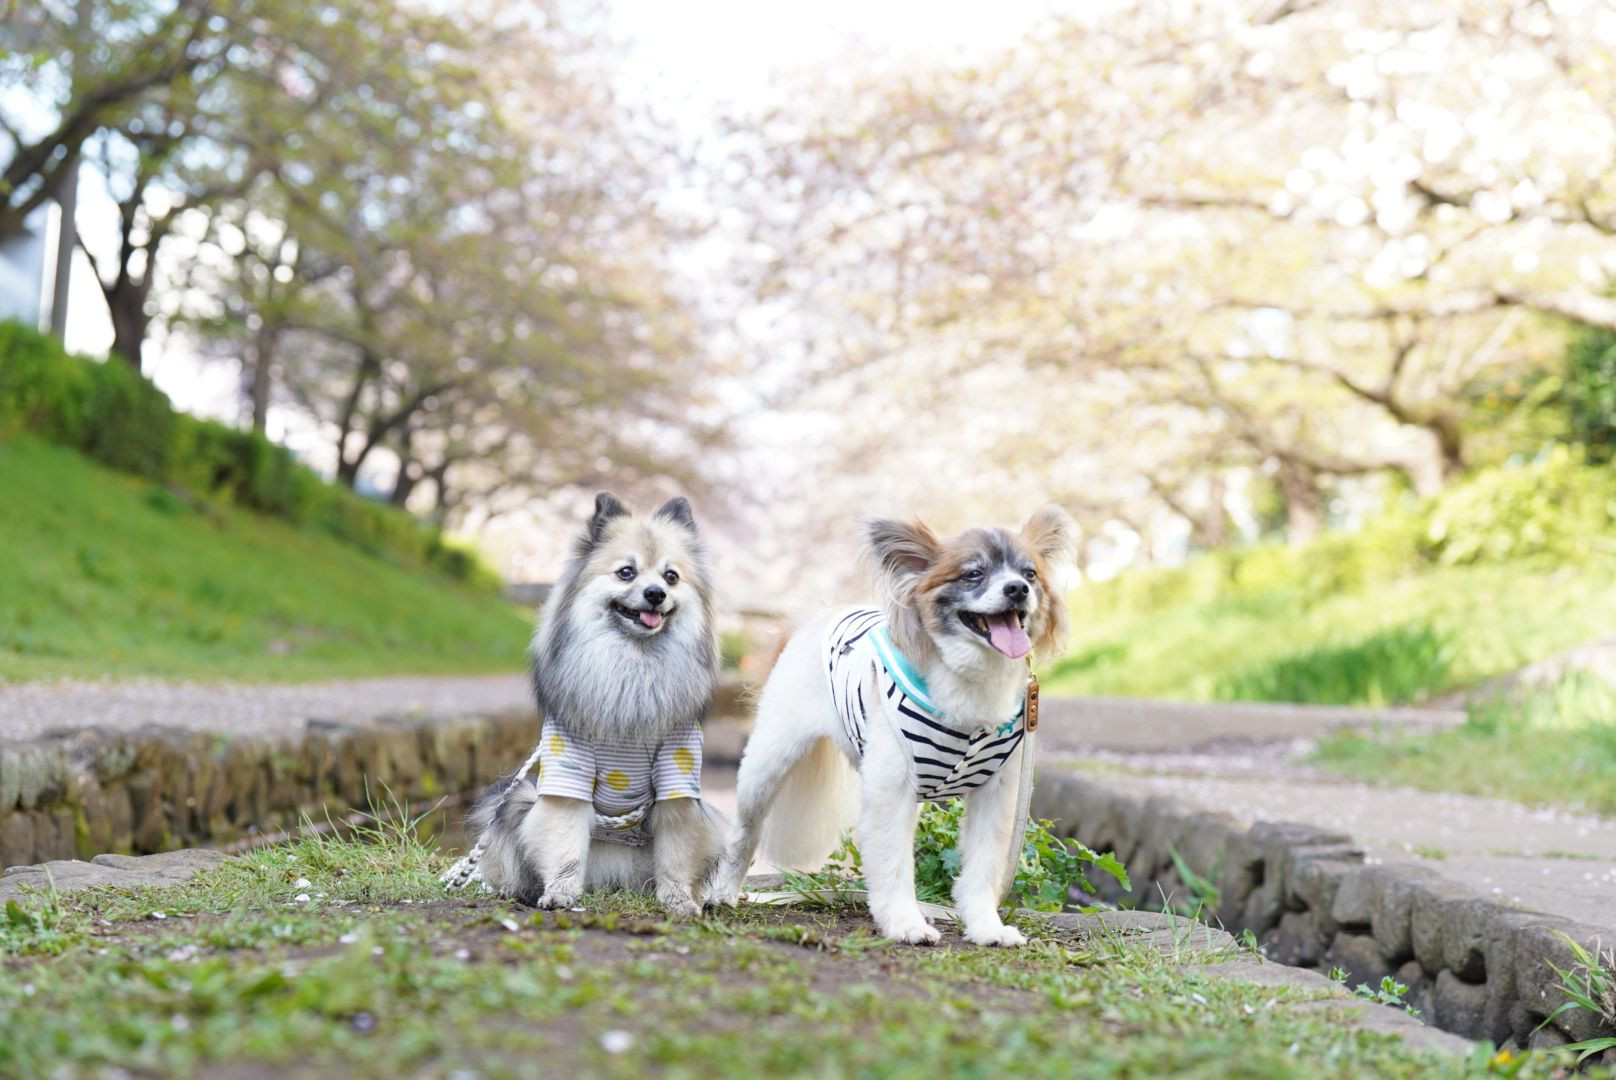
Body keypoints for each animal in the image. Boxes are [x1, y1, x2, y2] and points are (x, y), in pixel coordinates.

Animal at [451, 492, 727, 916]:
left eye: (671, 577)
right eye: (626, 572)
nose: (655, 594)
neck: (633, 666)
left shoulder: (677, 776)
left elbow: (677, 851)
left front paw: (677, 898)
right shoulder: (569, 770)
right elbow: (563, 841)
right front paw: (561, 891)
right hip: (518, 800)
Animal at [710, 506, 1076, 945]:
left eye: (1030, 573)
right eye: (974, 574)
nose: (1018, 589)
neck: (971, 686)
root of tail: (813, 617)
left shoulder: (996, 794)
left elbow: (983, 869)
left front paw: (986, 927)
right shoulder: (892, 788)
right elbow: (893, 864)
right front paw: (905, 924)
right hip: (768, 762)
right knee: (743, 831)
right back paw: (723, 892)